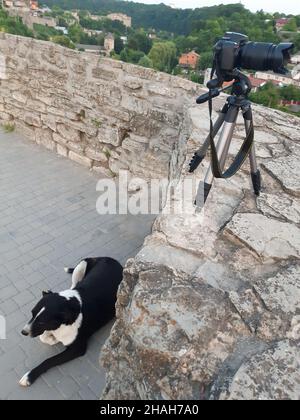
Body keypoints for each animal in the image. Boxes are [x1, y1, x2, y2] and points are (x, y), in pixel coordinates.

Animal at [19, 256, 122, 388]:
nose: (23, 332)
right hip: (81, 265)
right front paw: (52, 338)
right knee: (74, 284)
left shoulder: (77, 349)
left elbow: (49, 360)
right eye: (32, 313)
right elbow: (43, 337)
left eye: (42, 322)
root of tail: (110, 259)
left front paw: (29, 376)